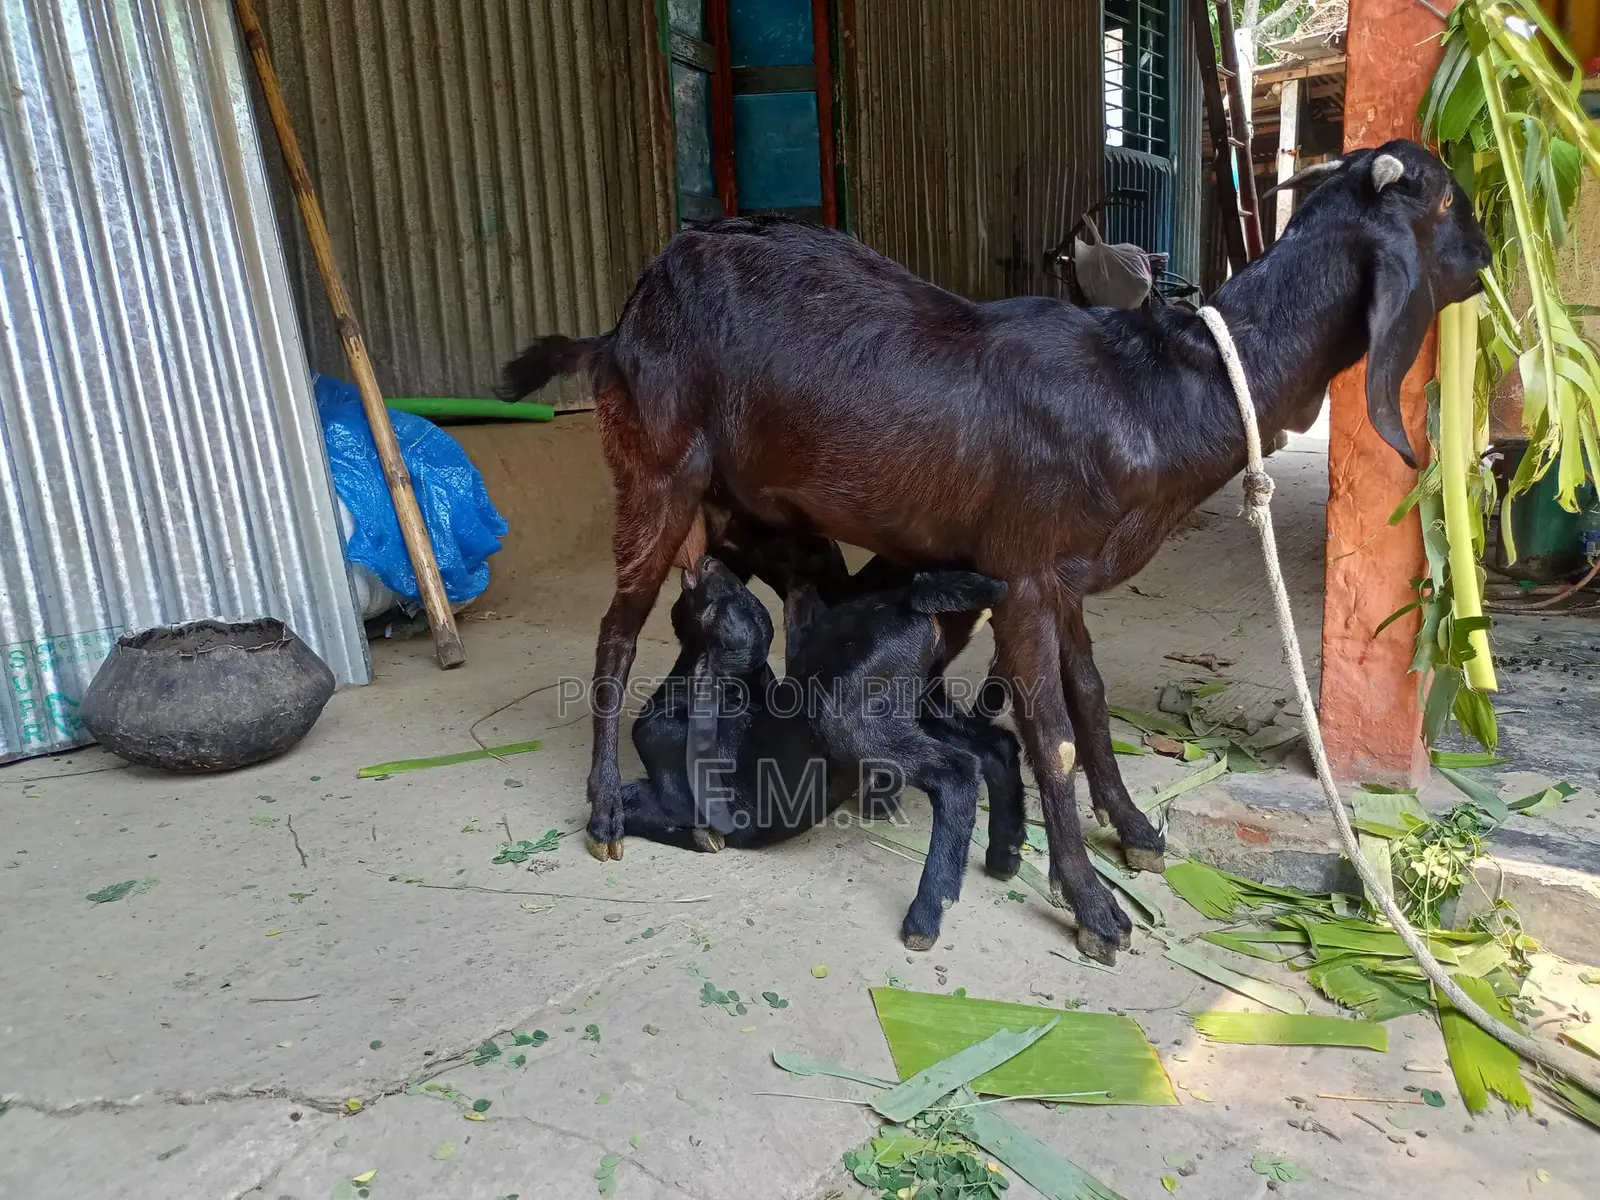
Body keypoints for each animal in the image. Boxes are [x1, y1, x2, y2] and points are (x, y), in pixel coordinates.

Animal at [501, 139, 1491, 963]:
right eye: (1449, 199)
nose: (1486, 262)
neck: (1156, 386)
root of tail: (620, 324)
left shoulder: (1065, 578)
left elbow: (1089, 699)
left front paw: (1135, 830)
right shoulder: (1021, 573)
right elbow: (1050, 732)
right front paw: (1093, 908)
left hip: (740, 517)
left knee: (727, 613)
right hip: (656, 476)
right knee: (617, 634)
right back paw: (606, 811)